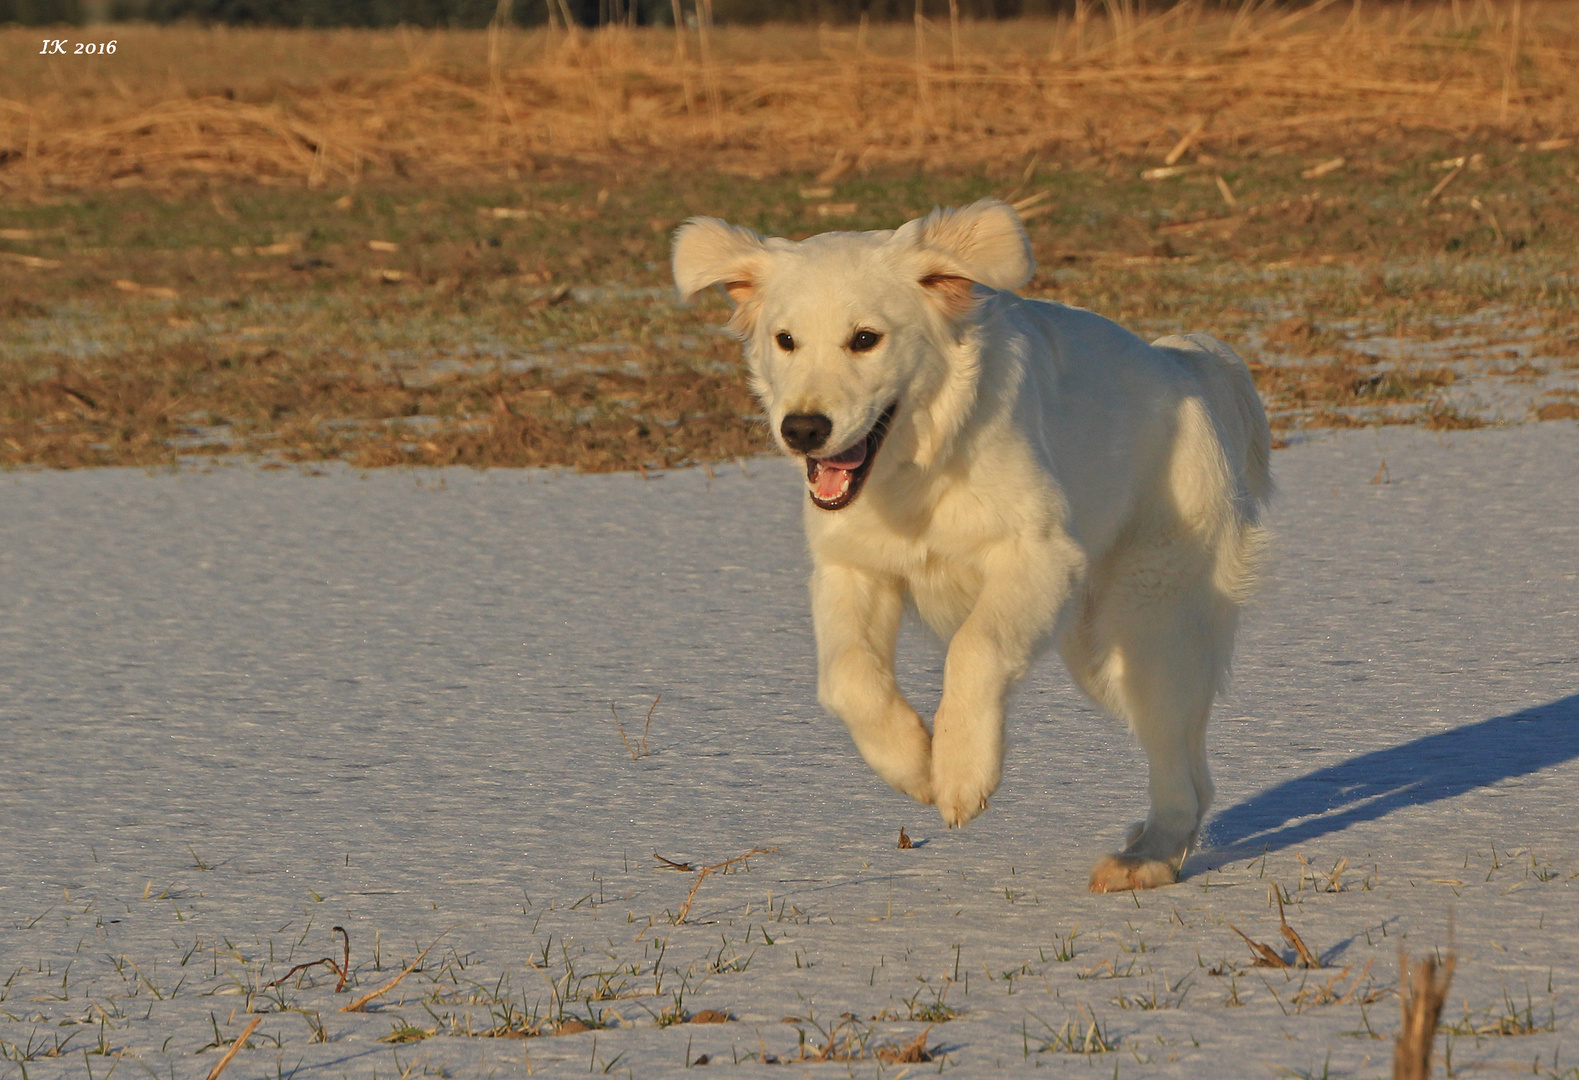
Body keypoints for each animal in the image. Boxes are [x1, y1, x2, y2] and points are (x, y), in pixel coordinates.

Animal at [669, 198, 1269, 890]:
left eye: (865, 338)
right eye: (784, 340)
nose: (802, 430)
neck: (918, 466)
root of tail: (1185, 363)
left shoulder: (1039, 555)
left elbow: (975, 648)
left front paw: (959, 772)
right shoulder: (852, 568)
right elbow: (848, 677)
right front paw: (913, 763)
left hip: (1149, 625)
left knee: (1178, 759)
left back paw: (1144, 860)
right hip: (1100, 655)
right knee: (1194, 768)